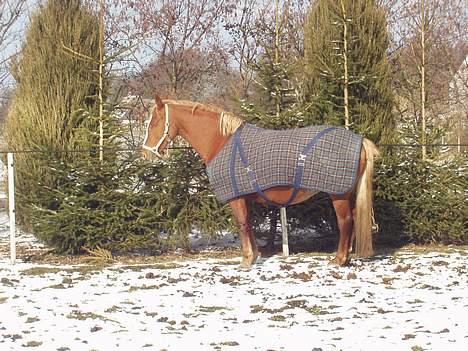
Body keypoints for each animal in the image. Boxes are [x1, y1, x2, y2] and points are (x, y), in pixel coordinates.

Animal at [143, 95, 380, 268]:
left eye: (154, 123)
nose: (145, 154)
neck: (221, 142)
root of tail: (360, 141)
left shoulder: (235, 198)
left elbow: (242, 225)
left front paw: (246, 259)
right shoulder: (244, 197)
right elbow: (248, 225)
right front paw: (255, 255)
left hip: (338, 194)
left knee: (345, 221)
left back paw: (339, 259)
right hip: (348, 193)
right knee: (355, 218)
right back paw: (346, 257)